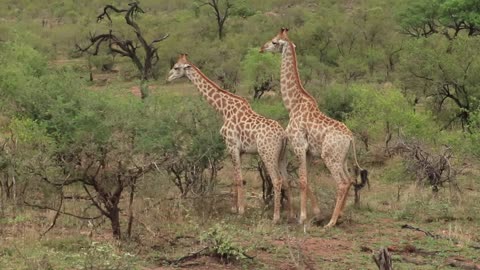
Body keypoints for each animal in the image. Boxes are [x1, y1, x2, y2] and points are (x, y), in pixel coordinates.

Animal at [167, 53, 294, 223]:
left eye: (176, 67)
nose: (168, 78)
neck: (223, 110)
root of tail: (283, 135)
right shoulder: (239, 150)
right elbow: (235, 177)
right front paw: (234, 208)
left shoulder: (232, 145)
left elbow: (239, 178)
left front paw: (241, 210)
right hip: (282, 156)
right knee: (286, 180)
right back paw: (291, 215)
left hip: (268, 154)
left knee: (277, 180)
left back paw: (276, 217)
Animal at [258, 28, 368, 228]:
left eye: (275, 41)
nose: (262, 48)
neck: (292, 104)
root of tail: (350, 138)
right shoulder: (309, 152)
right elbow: (307, 180)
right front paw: (315, 214)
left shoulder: (299, 146)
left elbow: (301, 180)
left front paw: (302, 217)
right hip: (342, 158)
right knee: (349, 180)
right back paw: (339, 216)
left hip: (330, 157)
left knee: (342, 183)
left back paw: (331, 222)